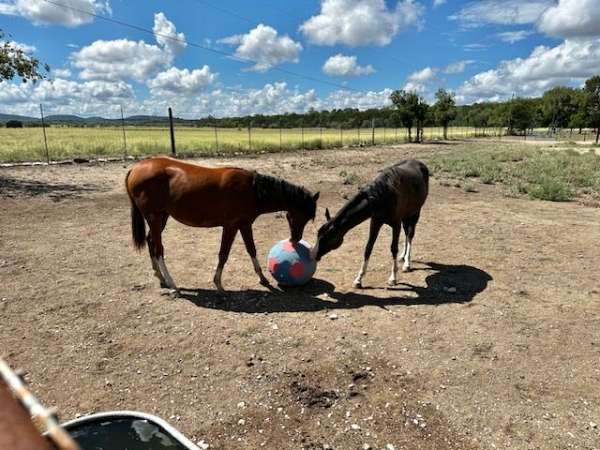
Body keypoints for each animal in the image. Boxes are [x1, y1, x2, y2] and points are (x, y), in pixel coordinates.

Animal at [125, 157, 318, 292]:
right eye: (302, 215)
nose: (295, 239)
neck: (252, 191)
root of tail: (136, 168)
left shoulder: (244, 225)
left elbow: (252, 250)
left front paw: (263, 278)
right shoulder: (231, 226)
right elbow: (223, 254)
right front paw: (218, 283)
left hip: (161, 217)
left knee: (151, 242)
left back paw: (160, 277)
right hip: (154, 218)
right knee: (159, 249)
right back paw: (172, 284)